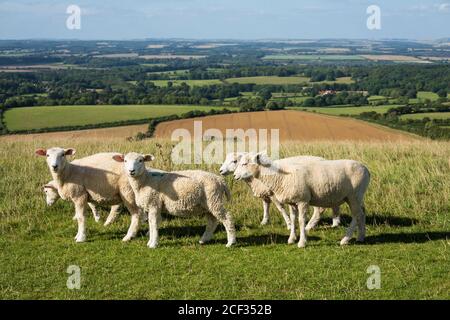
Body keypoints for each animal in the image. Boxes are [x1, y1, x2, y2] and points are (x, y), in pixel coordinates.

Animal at [232, 152, 370, 248]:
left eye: (245, 164)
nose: (234, 175)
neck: (280, 177)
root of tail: (366, 170)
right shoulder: (292, 202)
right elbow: (293, 220)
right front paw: (291, 239)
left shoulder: (302, 200)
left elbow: (301, 220)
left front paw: (302, 242)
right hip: (356, 196)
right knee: (362, 213)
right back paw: (361, 237)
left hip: (354, 195)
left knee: (357, 215)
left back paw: (345, 239)